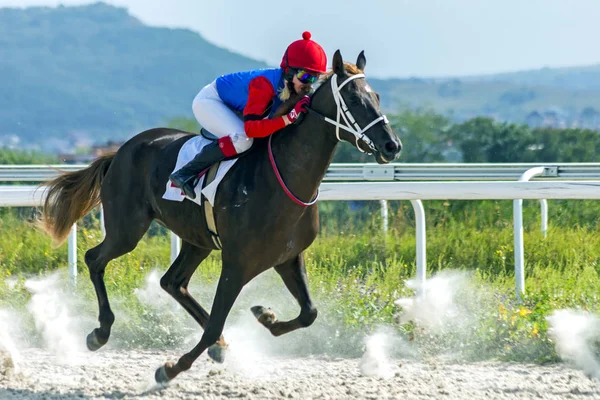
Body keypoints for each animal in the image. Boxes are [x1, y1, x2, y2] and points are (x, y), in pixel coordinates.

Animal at [41, 49, 404, 382]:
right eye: (354, 99)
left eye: (377, 97)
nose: (392, 146)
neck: (285, 177)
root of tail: (119, 151)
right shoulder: (237, 263)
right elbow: (216, 322)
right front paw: (172, 368)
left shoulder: (288, 257)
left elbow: (309, 313)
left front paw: (265, 316)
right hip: (127, 229)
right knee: (95, 259)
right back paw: (100, 332)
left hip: (196, 239)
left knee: (172, 282)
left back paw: (219, 345)